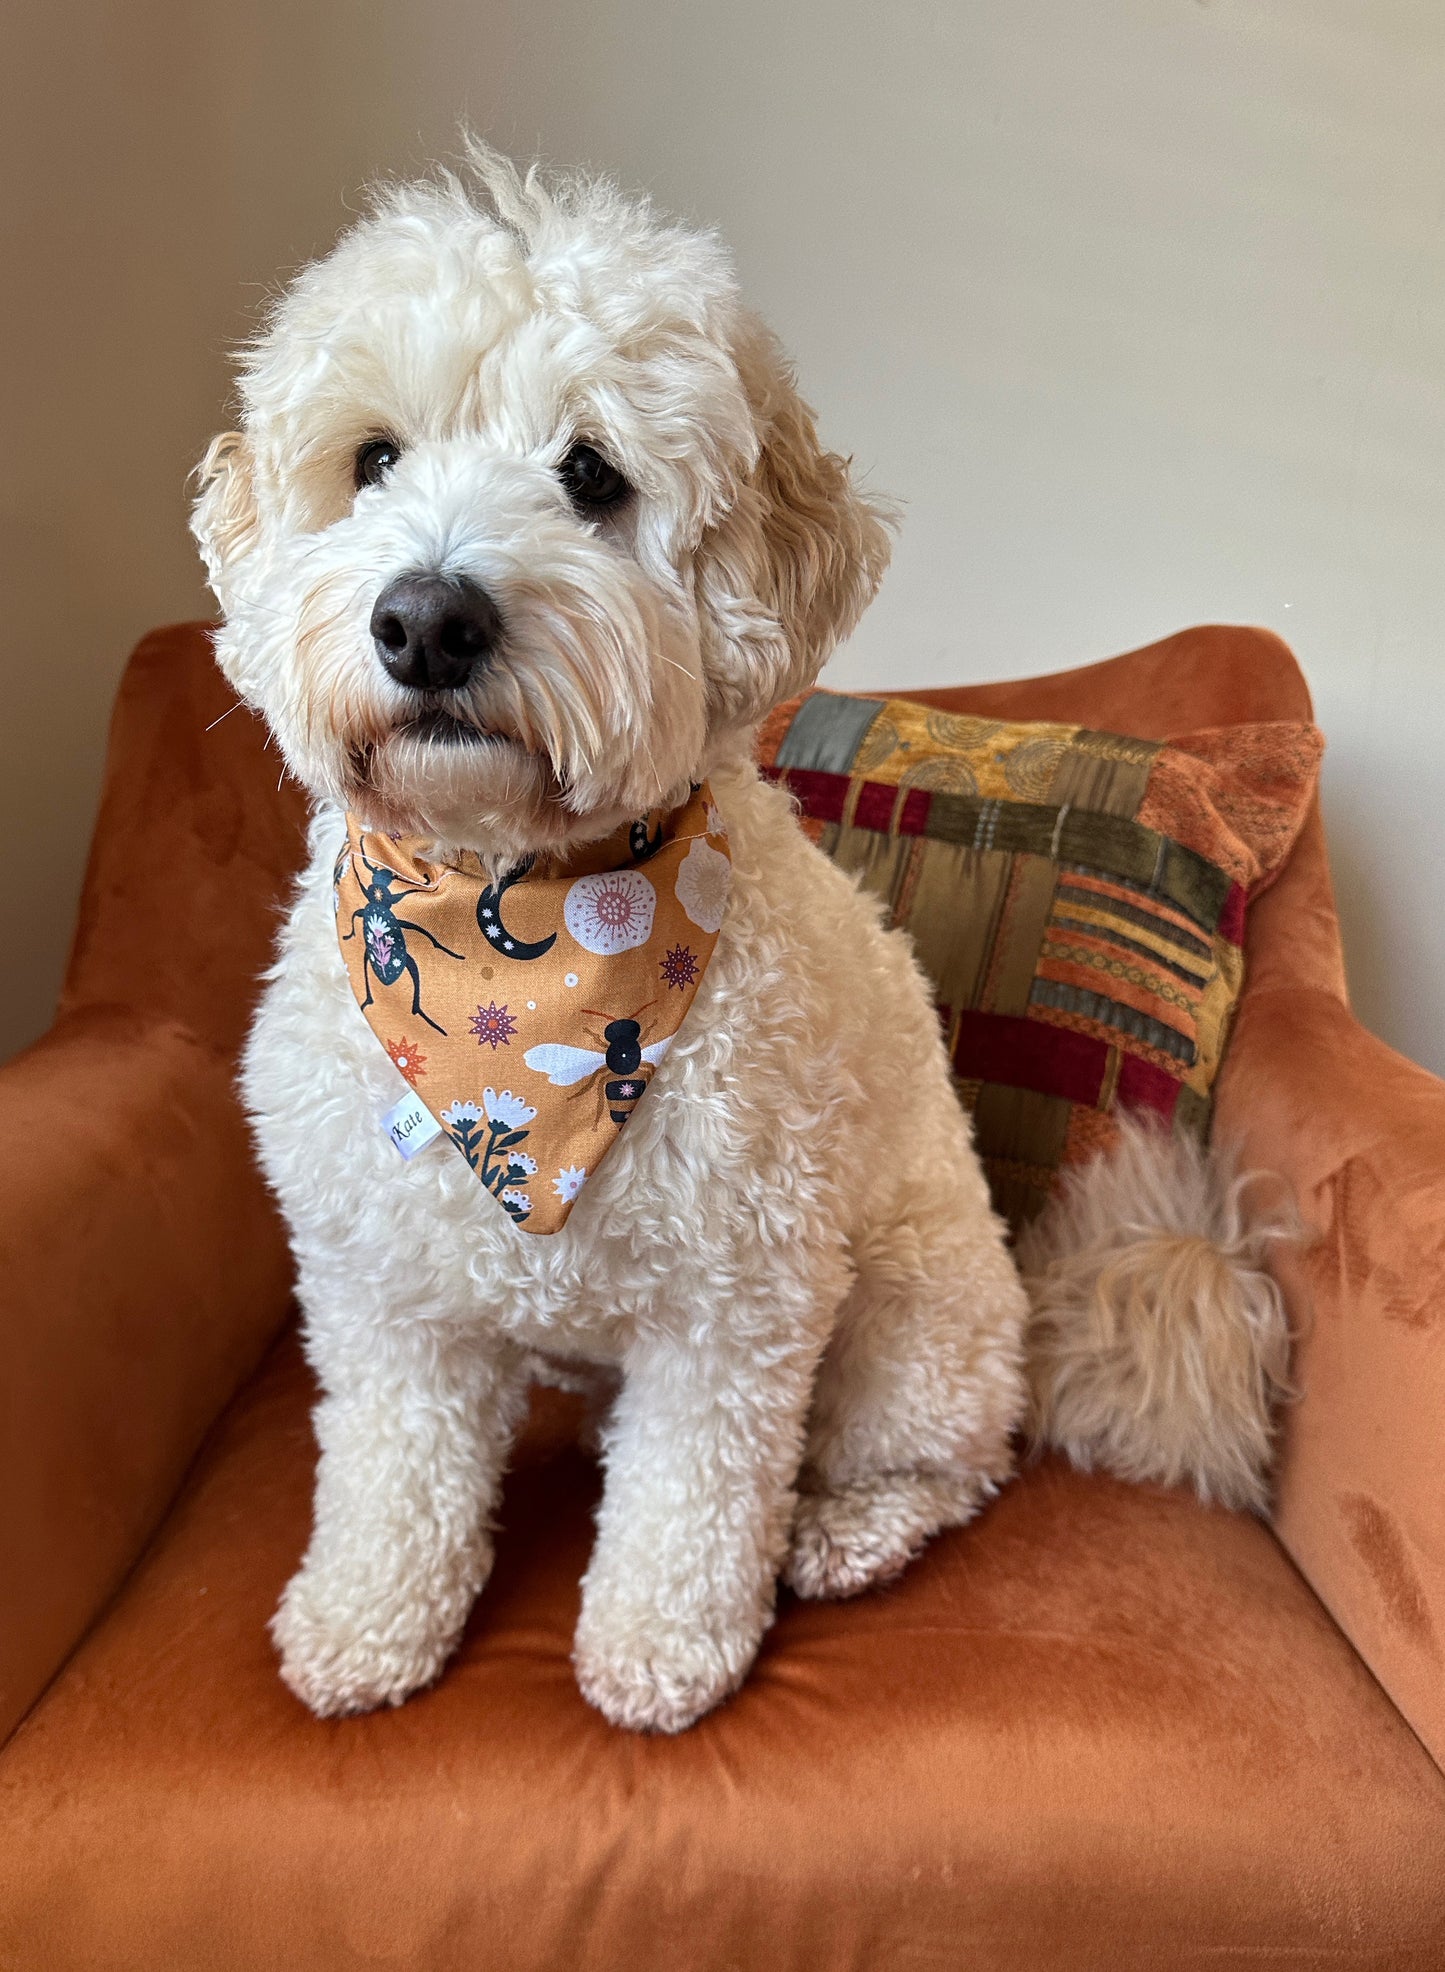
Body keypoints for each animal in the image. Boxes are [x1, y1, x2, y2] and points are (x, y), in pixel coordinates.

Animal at [189, 149, 1040, 1727]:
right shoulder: (386, 1293)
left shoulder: (737, 1304)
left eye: (590, 474)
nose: (426, 618)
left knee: (948, 1461)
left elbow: (692, 1499)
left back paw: (847, 1528)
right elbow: (390, 1469)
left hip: (908, 1305)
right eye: (373, 459)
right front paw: (367, 1619)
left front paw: (660, 1649)